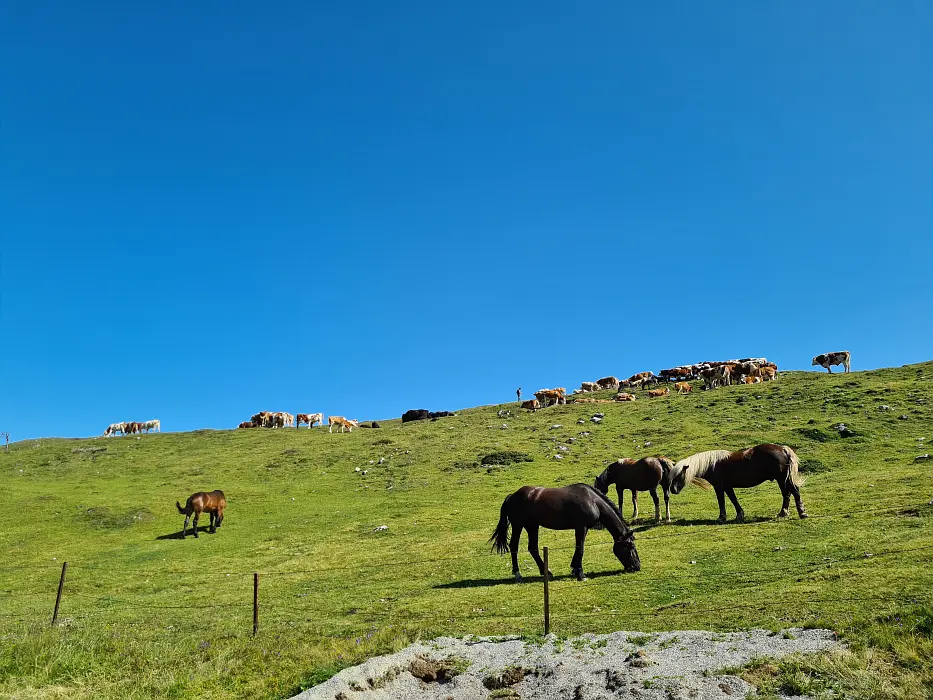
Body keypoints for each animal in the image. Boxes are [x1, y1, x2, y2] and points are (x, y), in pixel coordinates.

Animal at [488, 484, 640, 584]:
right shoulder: (581, 527)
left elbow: (578, 549)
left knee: (533, 547)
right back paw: (518, 576)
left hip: (532, 526)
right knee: (514, 547)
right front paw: (581, 574)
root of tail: (512, 496)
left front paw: (574, 569)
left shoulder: (583, 529)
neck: (593, 501)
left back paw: (546, 572)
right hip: (518, 526)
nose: (637, 567)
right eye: (631, 547)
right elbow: (581, 549)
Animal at [668, 446, 804, 524]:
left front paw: (721, 518)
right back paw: (783, 513)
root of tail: (783, 449)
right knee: (787, 494)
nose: (673, 490)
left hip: (782, 479)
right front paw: (739, 515)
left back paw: (802, 513)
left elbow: (721, 501)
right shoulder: (727, 486)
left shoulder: (719, 486)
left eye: (678, 475)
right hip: (782, 479)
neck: (712, 464)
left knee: (794, 492)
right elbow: (734, 499)